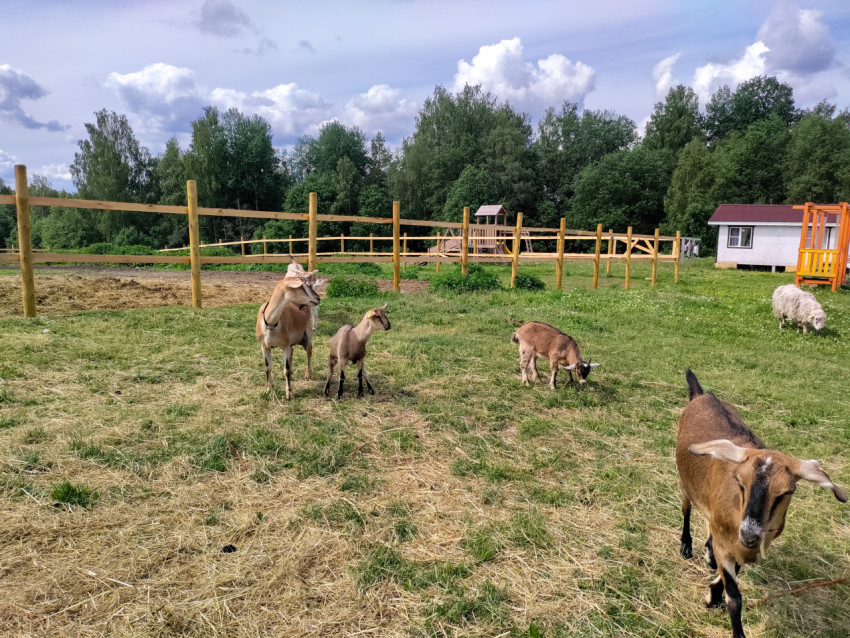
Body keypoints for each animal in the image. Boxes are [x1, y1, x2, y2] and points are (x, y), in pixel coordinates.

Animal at [676, 369, 846, 638]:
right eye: (739, 481)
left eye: (786, 492)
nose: (749, 534)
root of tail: (702, 395)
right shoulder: (731, 543)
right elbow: (735, 598)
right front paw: (717, 602)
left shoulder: (744, 547)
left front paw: (713, 592)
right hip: (685, 483)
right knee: (686, 509)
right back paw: (686, 546)